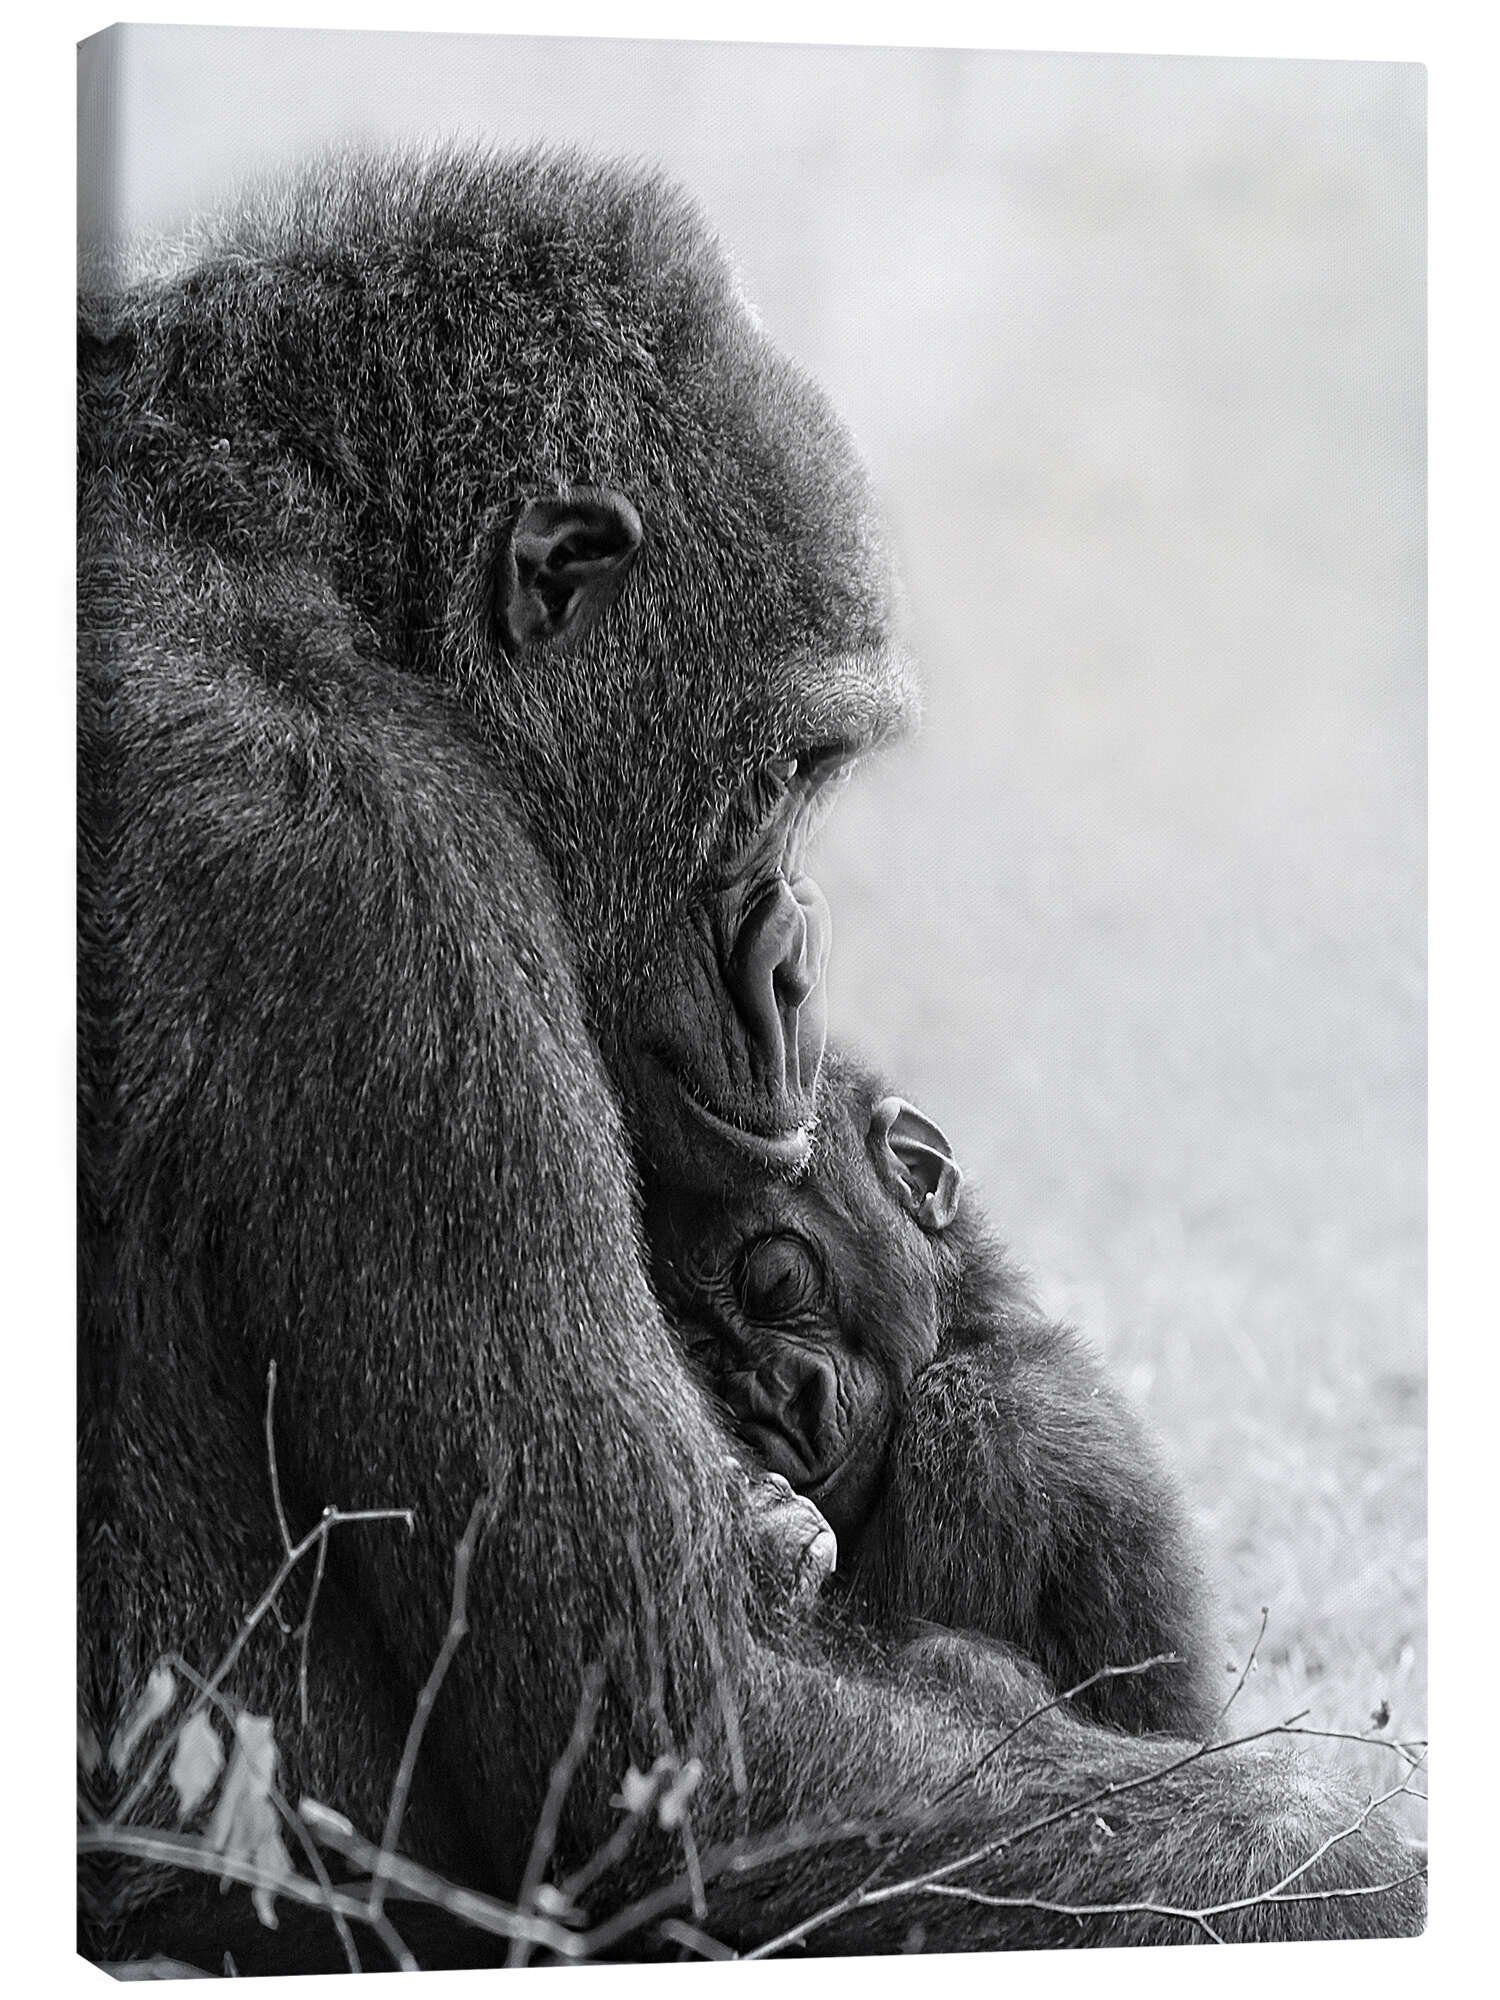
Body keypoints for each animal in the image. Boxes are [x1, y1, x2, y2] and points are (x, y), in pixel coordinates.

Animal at [644, 1048, 1219, 1740]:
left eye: (776, 1278)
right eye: (701, 1351)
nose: (778, 1399)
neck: (962, 1327)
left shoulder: (984, 1431)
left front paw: (768, 1546)